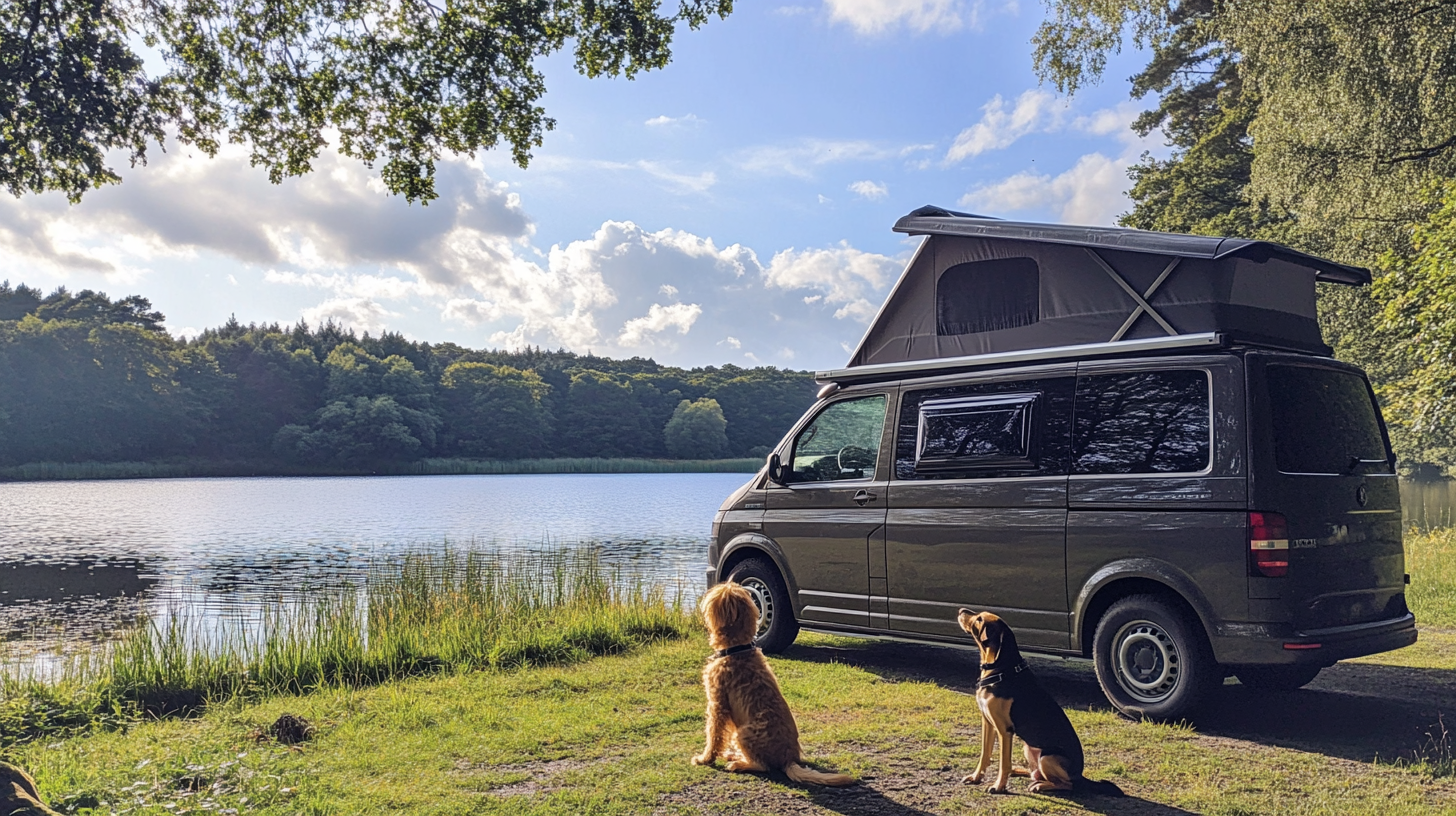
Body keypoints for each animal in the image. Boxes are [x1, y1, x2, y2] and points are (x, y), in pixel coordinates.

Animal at [690, 579, 850, 786]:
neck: (737, 649)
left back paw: (738, 764)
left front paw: (704, 759)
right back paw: (735, 756)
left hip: (744, 732)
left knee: (762, 766)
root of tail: (788, 760)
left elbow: (713, 735)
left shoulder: (717, 705)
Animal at [955, 609, 1124, 792]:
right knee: (1034, 773)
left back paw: (1040, 785)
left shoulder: (1004, 730)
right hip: (1028, 748)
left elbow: (1003, 763)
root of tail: (1080, 776)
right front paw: (976, 777)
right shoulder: (988, 723)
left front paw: (998, 786)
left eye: (979, 619)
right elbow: (984, 755)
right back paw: (1020, 772)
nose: (961, 610)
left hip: (1047, 757)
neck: (1000, 670)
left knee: (1067, 785)